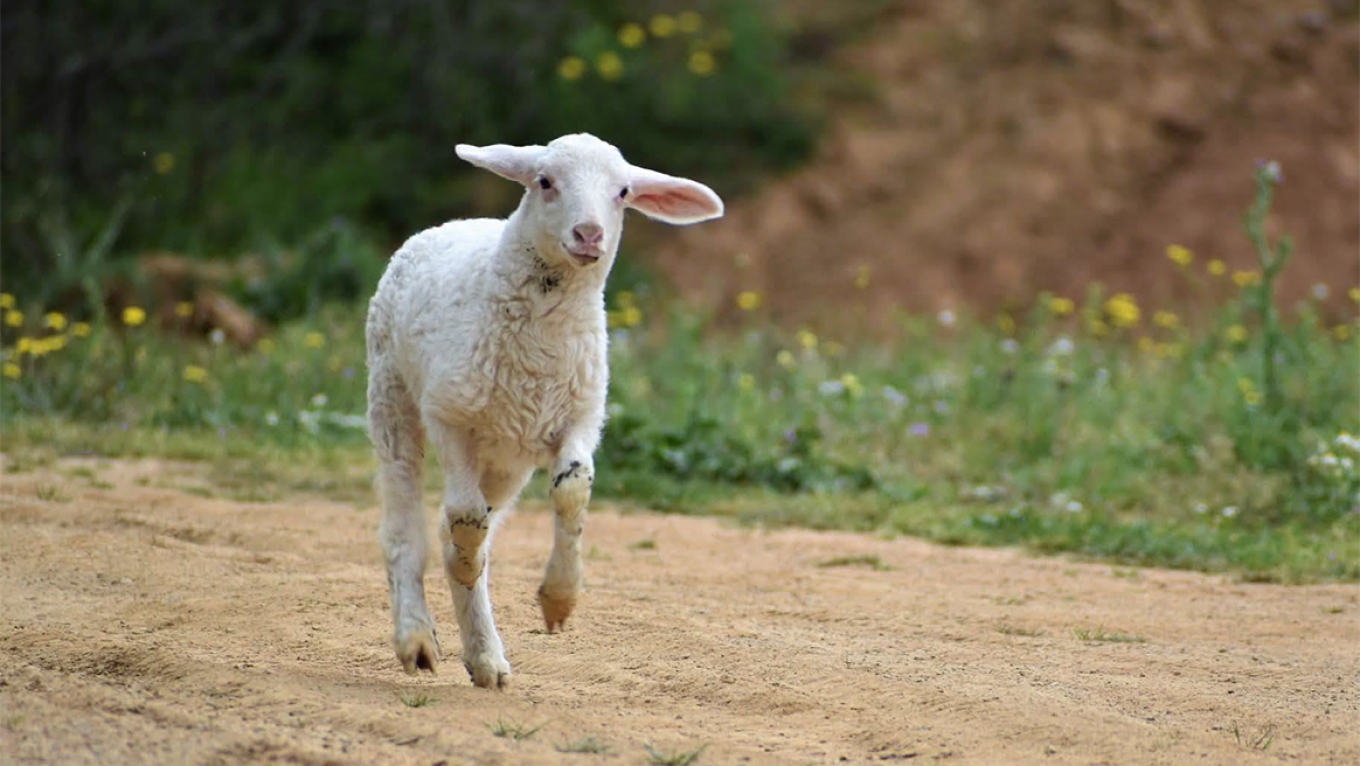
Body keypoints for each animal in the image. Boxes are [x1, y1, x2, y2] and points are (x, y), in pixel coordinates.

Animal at [365, 133, 724, 688]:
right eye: (545, 182)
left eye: (624, 192)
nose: (590, 234)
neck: (539, 351)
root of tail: (454, 223)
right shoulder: (450, 413)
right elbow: (465, 518)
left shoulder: (580, 418)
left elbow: (573, 490)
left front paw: (559, 598)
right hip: (392, 396)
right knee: (409, 527)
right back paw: (418, 638)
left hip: (507, 459)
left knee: (461, 534)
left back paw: (485, 657)